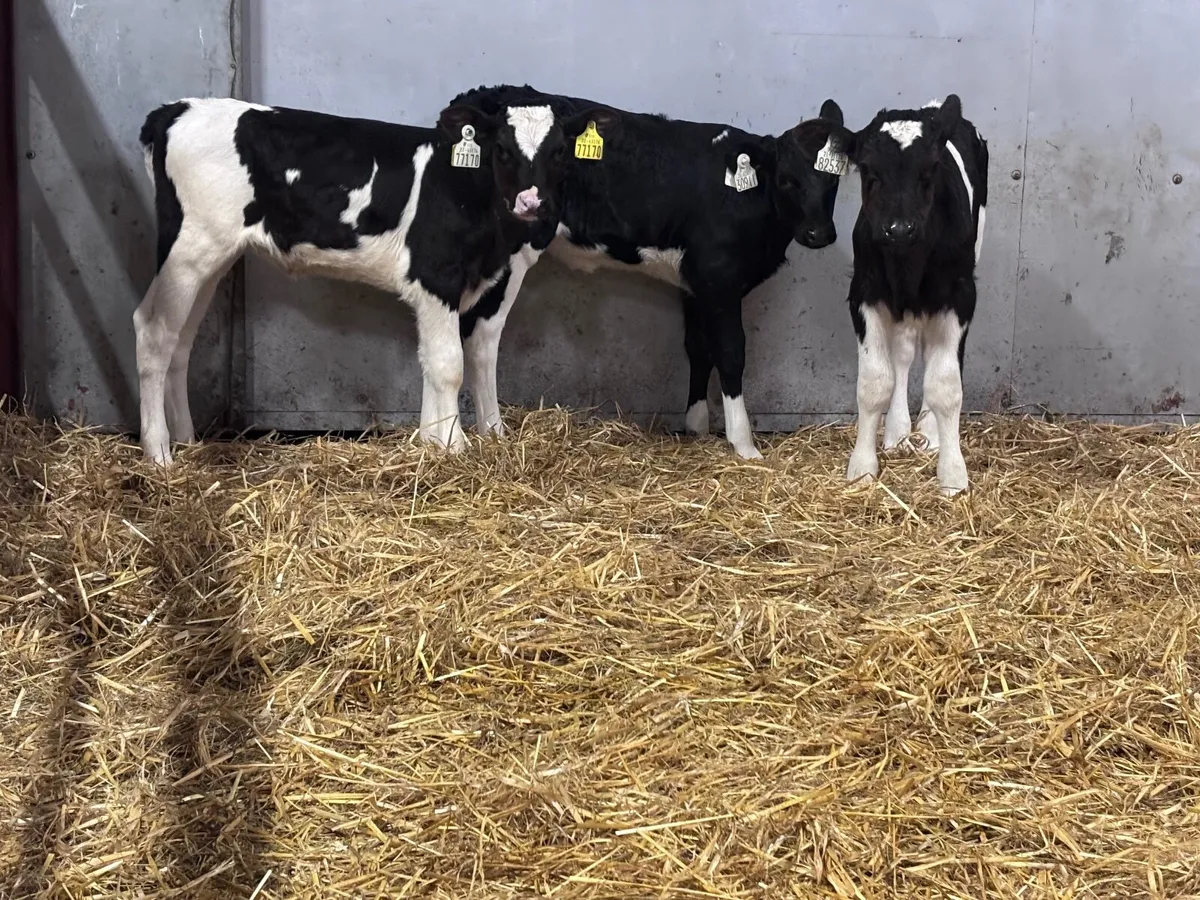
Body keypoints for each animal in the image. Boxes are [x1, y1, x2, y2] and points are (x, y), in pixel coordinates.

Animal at [133, 95, 616, 464]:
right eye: (501, 148)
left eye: (560, 150)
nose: (532, 202)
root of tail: (176, 109)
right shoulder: (436, 276)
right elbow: (449, 364)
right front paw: (453, 446)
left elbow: (435, 362)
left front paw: (432, 441)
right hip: (190, 249)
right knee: (153, 330)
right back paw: (159, 454)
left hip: (211, 257)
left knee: (181, 340)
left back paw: (186, 439)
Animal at [451, 84, 850, 459]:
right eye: (787, 180)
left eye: (834, 179)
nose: (819, 234)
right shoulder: (719, 279)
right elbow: (731, 352)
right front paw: (744, 444)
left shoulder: (695, 283)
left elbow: (698, 348)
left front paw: (697, 427)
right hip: (511, 255)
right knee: (483, 338)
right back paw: (493, 430)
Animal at [835, 94, 988, 496]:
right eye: (869, 171)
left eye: (930, 168)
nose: (900, 228)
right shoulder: (864, 293)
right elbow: (875, 381)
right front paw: (863, 466)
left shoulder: (960, 297)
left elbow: (945, 384)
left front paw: (952, 474)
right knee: (903, 354)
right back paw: (898, 431)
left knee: (940, 359)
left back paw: (931, 432)